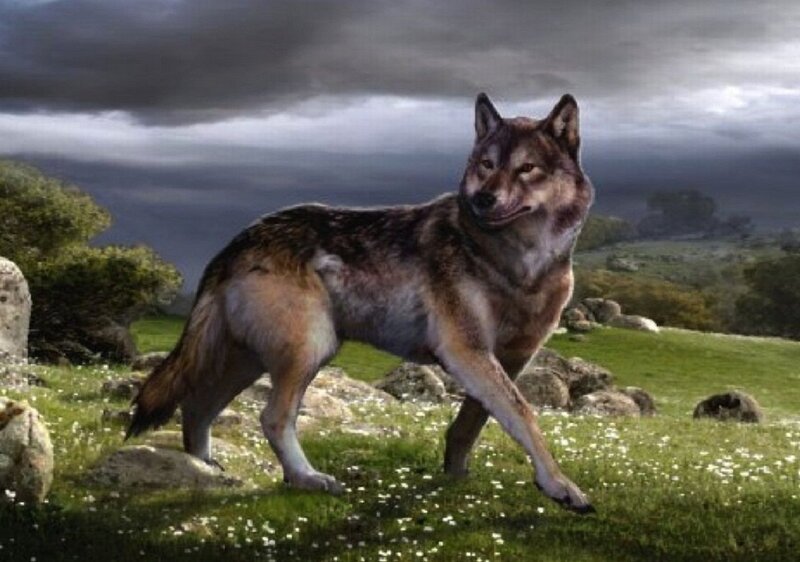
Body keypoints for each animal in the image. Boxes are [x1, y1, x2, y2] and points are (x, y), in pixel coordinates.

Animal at [128, 93, 595, 513]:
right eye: (487, 165)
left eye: (527, 168)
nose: (483, 199)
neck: (519, 263)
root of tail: (235, 242)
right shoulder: (467, 351)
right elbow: (525, 415)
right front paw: (561, 487)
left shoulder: (512, 357)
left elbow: (476, 421)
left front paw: (456, 474)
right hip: (309, 350)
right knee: (270, 418)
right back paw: (306, 478)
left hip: (253, 360)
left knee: (197, 405)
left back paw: (206, 471)